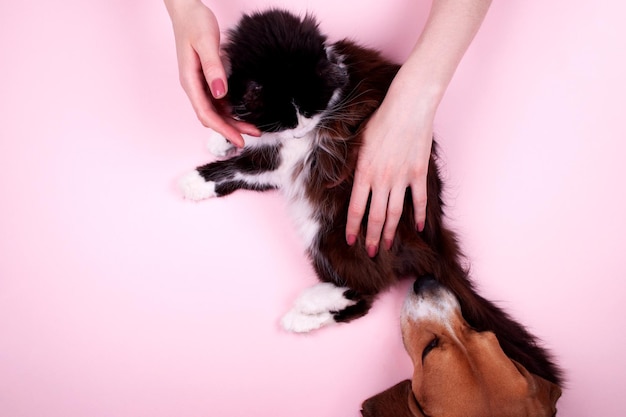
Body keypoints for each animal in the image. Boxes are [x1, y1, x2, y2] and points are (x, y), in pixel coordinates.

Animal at [177, 8, 560, 384]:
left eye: (310, 112)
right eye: (287, 117)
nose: (303, 128)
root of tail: (432, 235)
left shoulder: (288, 159)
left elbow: (243, 166)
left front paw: (193, 180)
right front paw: (223, 136)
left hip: (337, 230)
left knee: (366, 293)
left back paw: (304, 310)